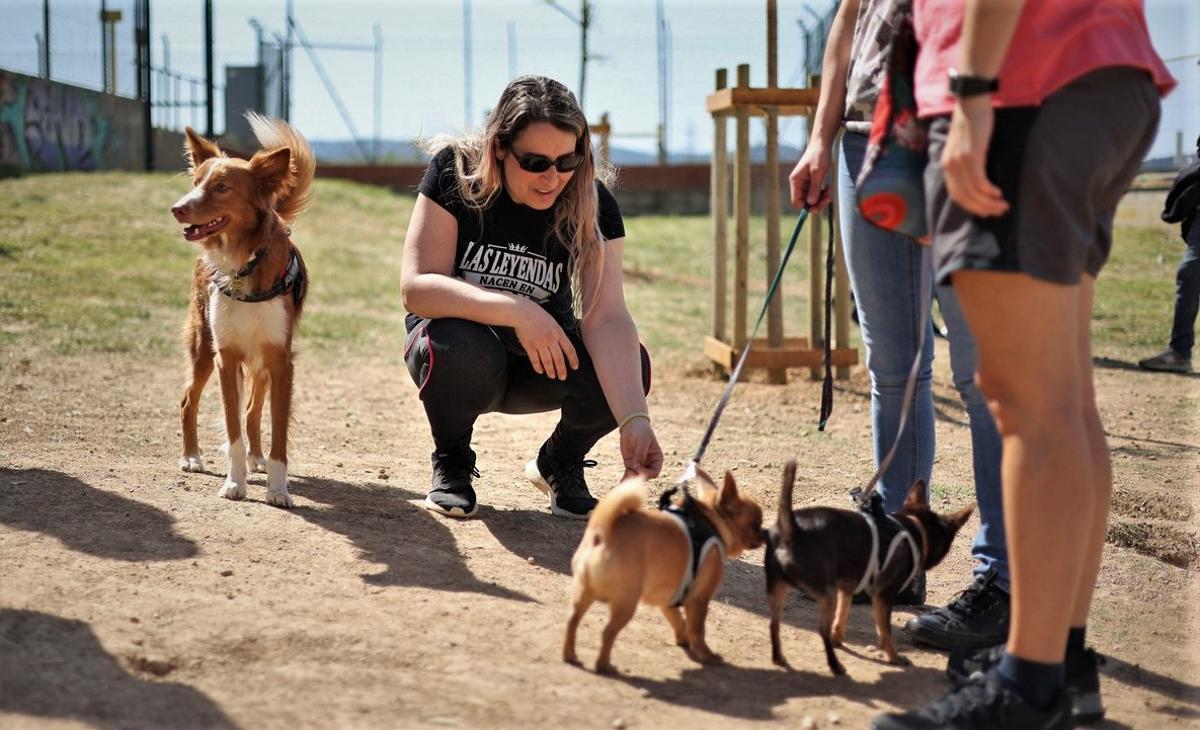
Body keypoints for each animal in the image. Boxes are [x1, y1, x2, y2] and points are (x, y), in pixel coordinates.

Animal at [174, 112, 316, 506]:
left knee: (253, 411)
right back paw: (191, 457)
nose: (177, 208)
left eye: (222, 187)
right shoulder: (227, 356)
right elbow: (232, 429)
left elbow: (277, 433)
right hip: (202, 347)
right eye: (196, 183)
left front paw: (278, 490)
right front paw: (234, 483)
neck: (244, 262)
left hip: (262, 361)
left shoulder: (280, 360)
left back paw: (256, 457)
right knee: (188, 400)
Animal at [564, 470, 768, 677]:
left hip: (584, 593)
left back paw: (570, 656)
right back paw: (604, 666)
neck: (710, 523)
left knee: (572, 621)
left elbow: (678, 621)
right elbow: (697, 630)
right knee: (607, 633)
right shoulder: (699, 600)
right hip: (625, 603)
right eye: (756, 524)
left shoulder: (668, 600)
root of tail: (603, 531)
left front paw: (683, 639)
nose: (765, 533)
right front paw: (707, 655)